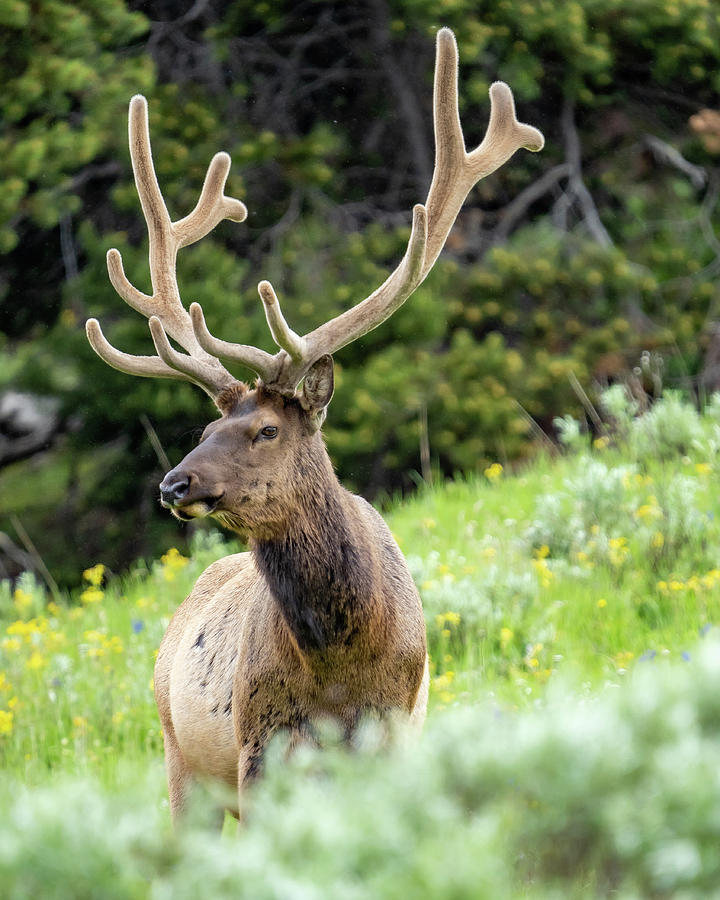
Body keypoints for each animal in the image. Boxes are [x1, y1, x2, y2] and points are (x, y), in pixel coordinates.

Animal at [86, 28, 540, 820]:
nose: (174, 485)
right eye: (204, 432)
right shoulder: (259, 745)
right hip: (180, 763)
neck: (341, 663)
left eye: (266, 430)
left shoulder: (398, 733)